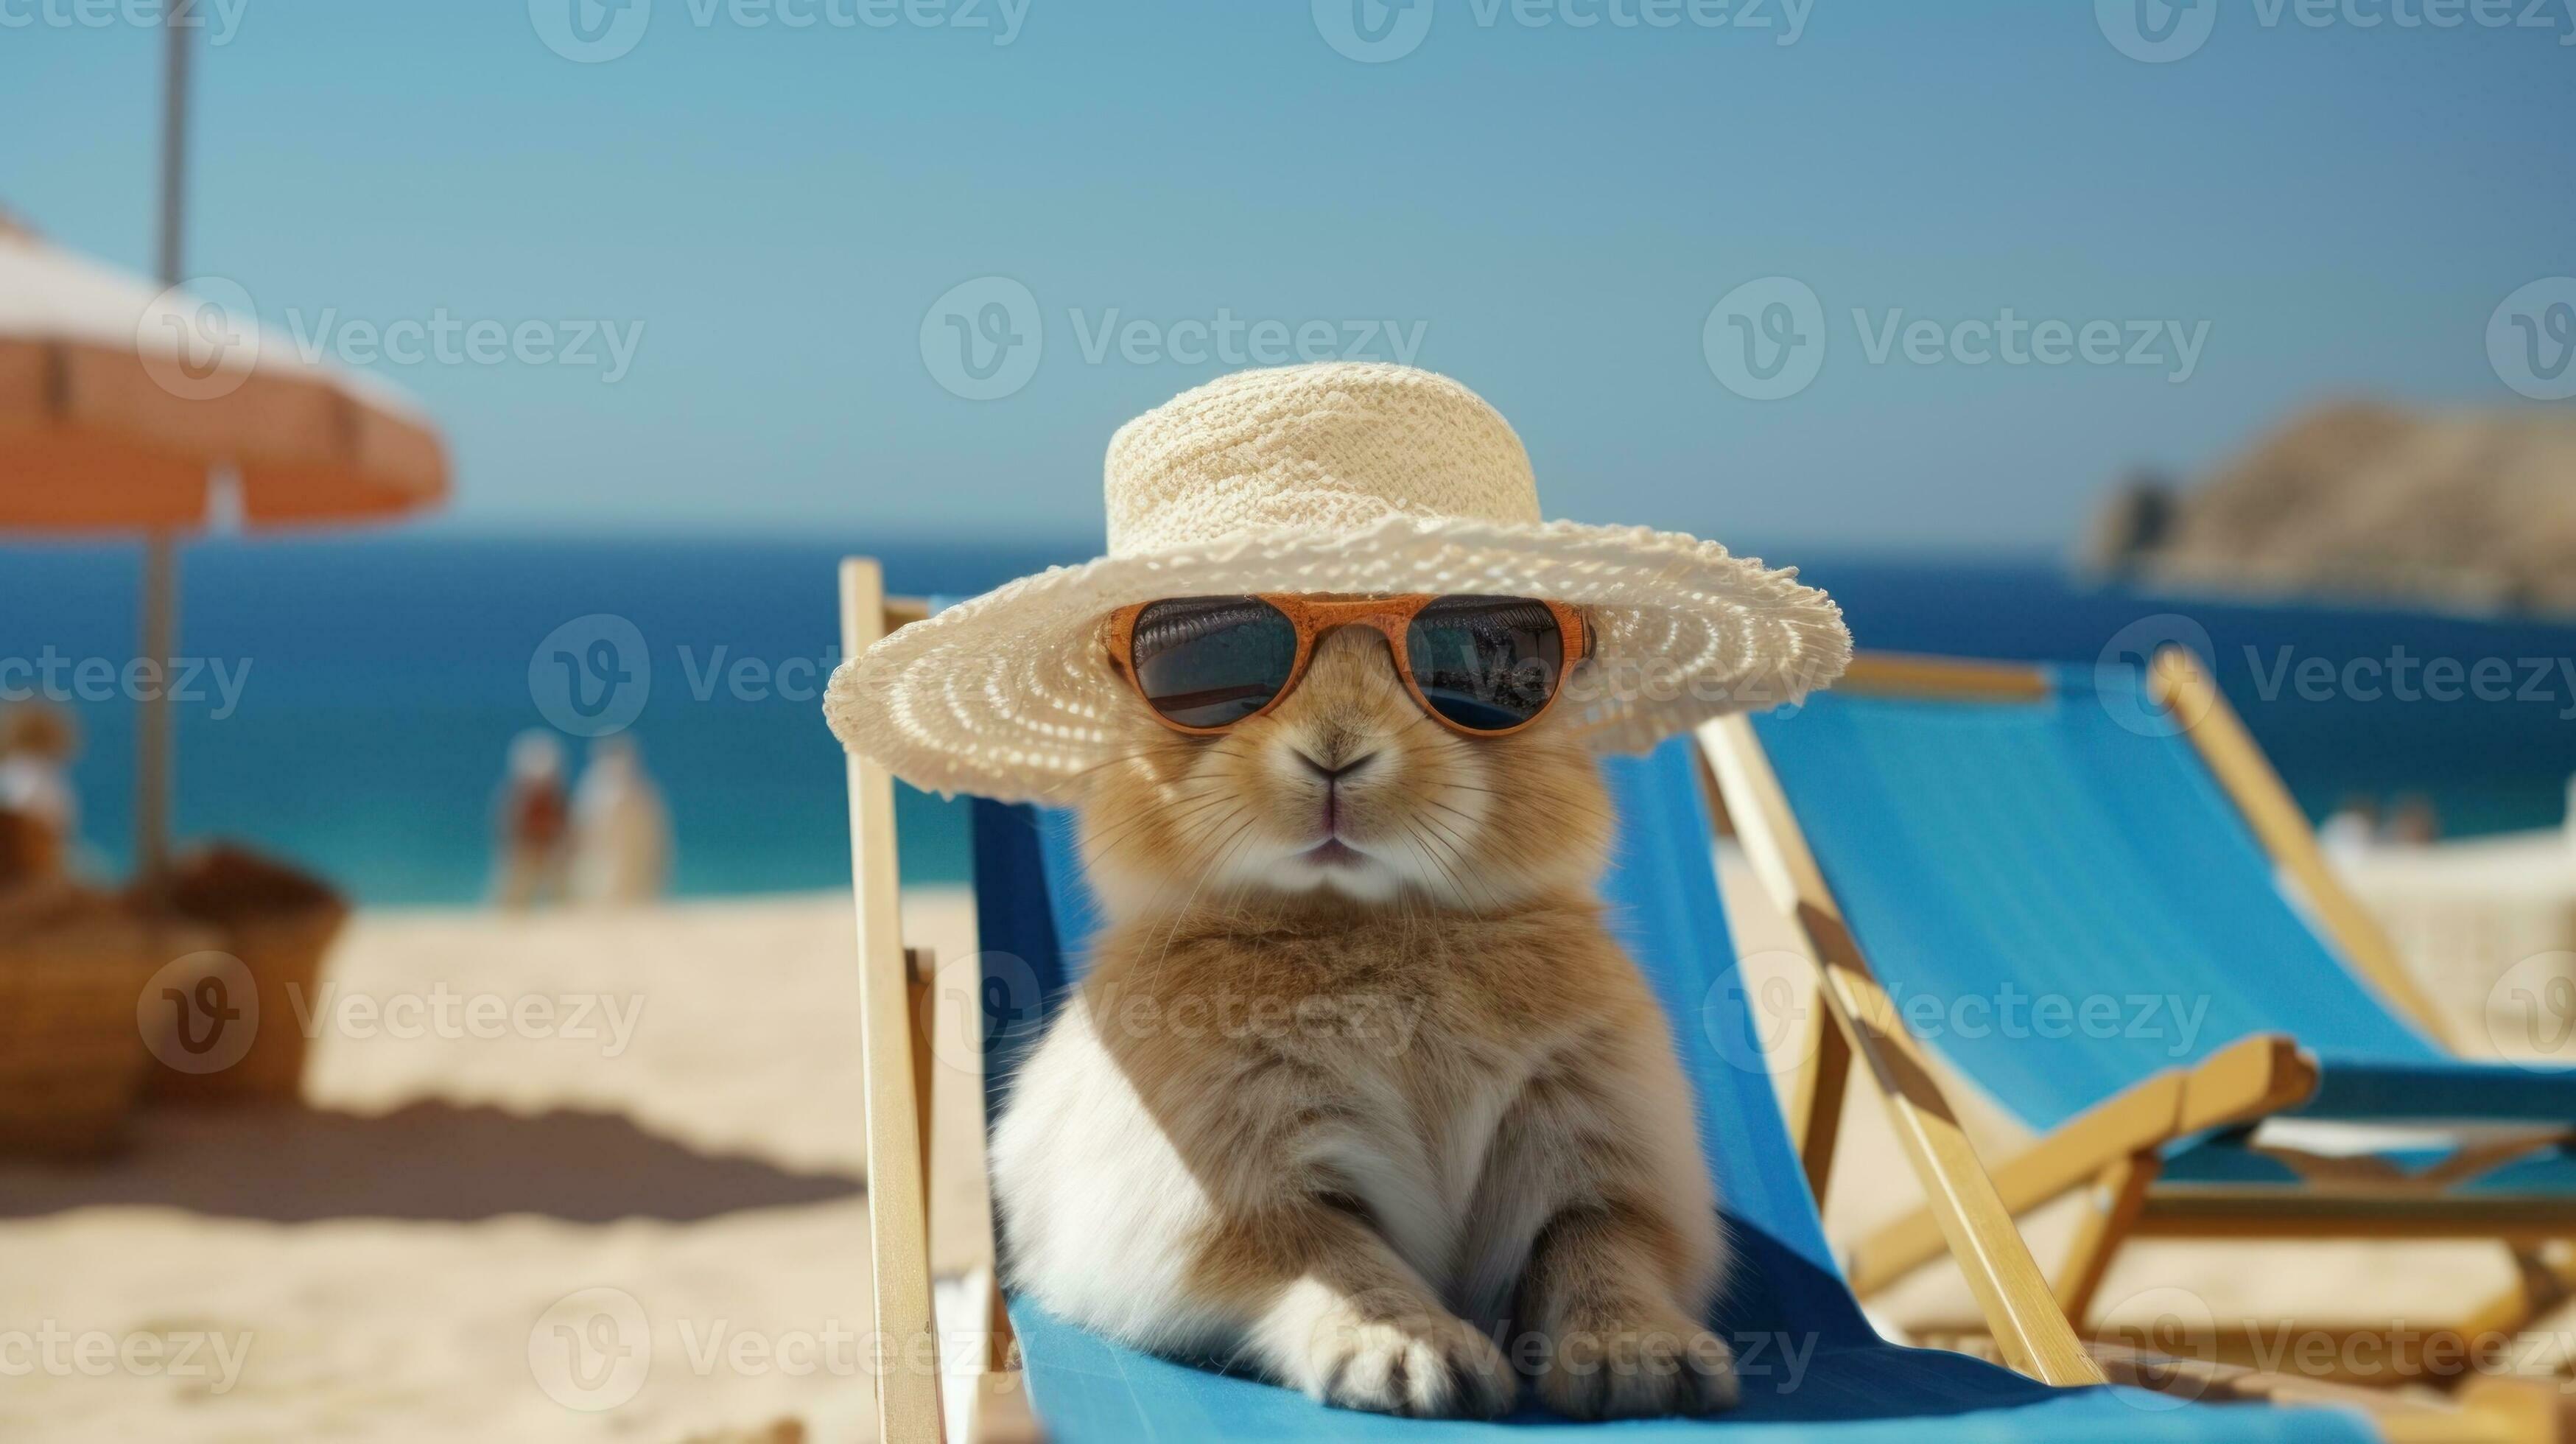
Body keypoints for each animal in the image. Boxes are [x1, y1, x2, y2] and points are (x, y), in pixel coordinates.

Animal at [987, 622, 1736, 1421]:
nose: (1335, 752)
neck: (1360, 920)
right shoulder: (1240, 1198)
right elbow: (1335, 1260)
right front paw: (1415, 1364)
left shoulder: (1596, 1163)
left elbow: (1599, 1252)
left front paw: (1644, 1361)